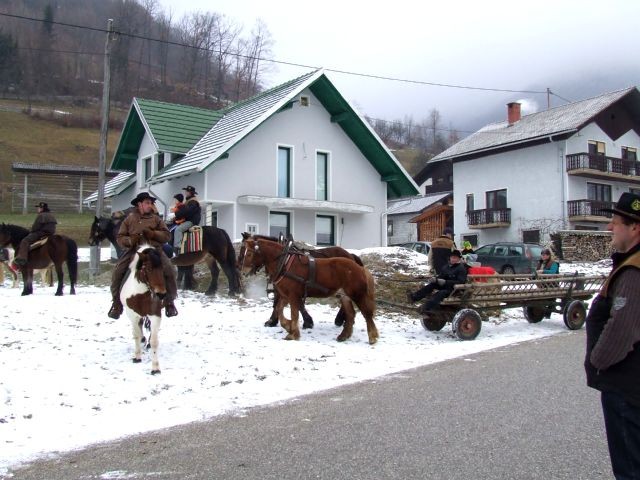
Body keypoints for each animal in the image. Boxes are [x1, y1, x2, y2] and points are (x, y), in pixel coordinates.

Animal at [89, 215, 241, 296]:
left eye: (95, 227)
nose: (90, 241)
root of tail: (221, 231)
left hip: (220, 256)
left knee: (229, 271)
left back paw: (231, 291)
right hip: (209, 257)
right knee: (215, 272)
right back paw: (210, 291)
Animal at [121, 244, 168, 376]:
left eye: (163, 269)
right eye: (148, 269)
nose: (161, 294)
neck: (140, 294)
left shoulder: (155, 315)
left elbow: (154, 341)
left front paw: (155, 368)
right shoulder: (132, 315)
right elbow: (136, 335)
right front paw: (137, 357)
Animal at [240, 237, 380, 344]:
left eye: (249, 253)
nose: (243, 272)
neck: (285, 263)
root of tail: (359, 267)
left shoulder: (293, 295)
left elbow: (294, 313)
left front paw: (293, 333)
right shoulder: (285, 295)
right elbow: (279, 310)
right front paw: (288, 326)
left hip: (357, 294)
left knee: (367, 314)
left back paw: (372, 337)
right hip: (344, 296)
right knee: (350, 314)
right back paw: (343, 335)